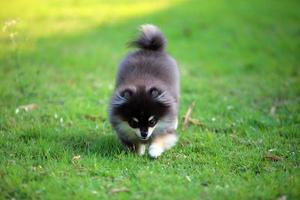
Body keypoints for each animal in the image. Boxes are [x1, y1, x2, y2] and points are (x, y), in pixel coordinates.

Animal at [109, 24, 179, 158]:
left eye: (152, 122)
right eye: (133, 122)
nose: (144, 134)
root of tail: (150, 48)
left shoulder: (165, 129)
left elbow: (161, 138)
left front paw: (154, 151)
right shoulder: (124, 132)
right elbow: (134, 143)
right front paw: (138, 152)